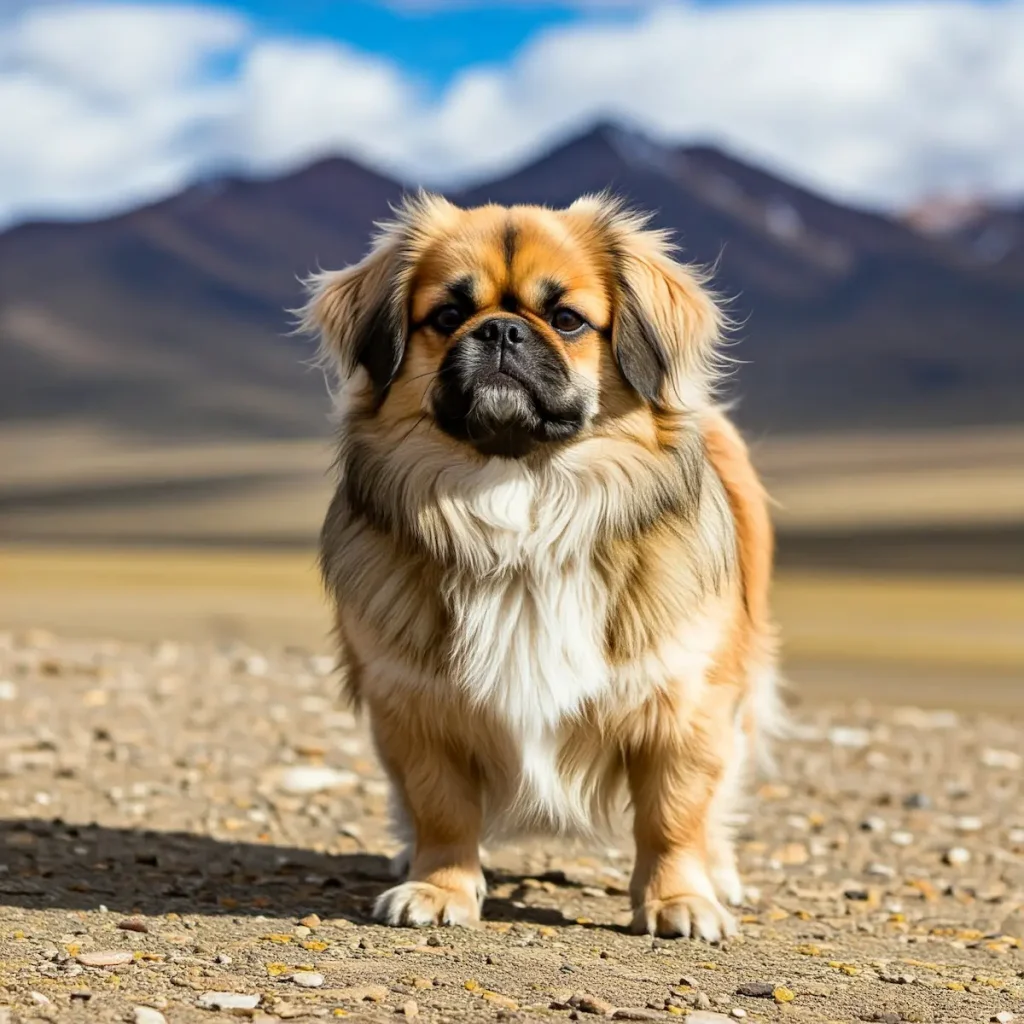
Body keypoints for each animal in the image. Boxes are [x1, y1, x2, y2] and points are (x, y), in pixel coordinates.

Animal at [299, 188, 778, 937]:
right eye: (447, 317)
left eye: (566, 319)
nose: (500, 332)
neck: (520, 499)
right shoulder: (413, 706)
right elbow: (442, 809)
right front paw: (437, 887)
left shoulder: (686, 703)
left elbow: (673, 815)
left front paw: (678, 900)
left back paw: (719, 875)